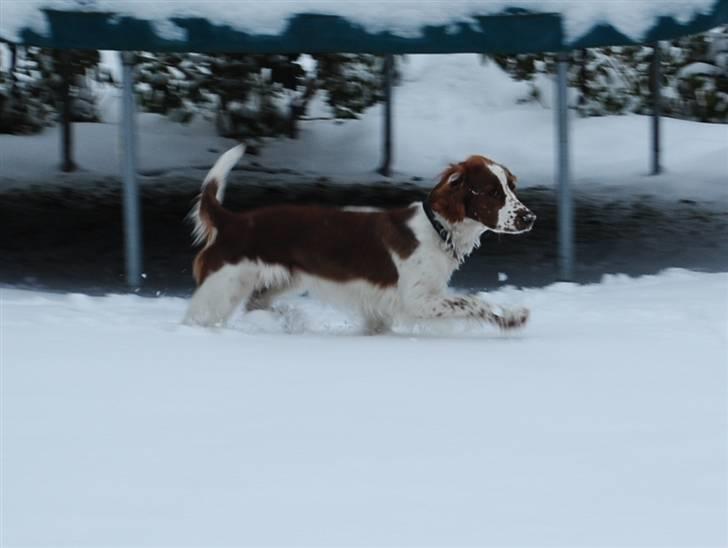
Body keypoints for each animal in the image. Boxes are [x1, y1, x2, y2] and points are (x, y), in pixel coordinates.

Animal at [182, 146, 536, 332]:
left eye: (512, 187)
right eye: (492, 192)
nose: (530, 218)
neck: (438, 230)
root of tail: (232, 220)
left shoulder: (384, 308)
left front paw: (510, 318)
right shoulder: (417, 299)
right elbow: (472, 300)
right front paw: (511, 317)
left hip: (282, 281)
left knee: (257, 303)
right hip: (221, 288)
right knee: (199, 317)